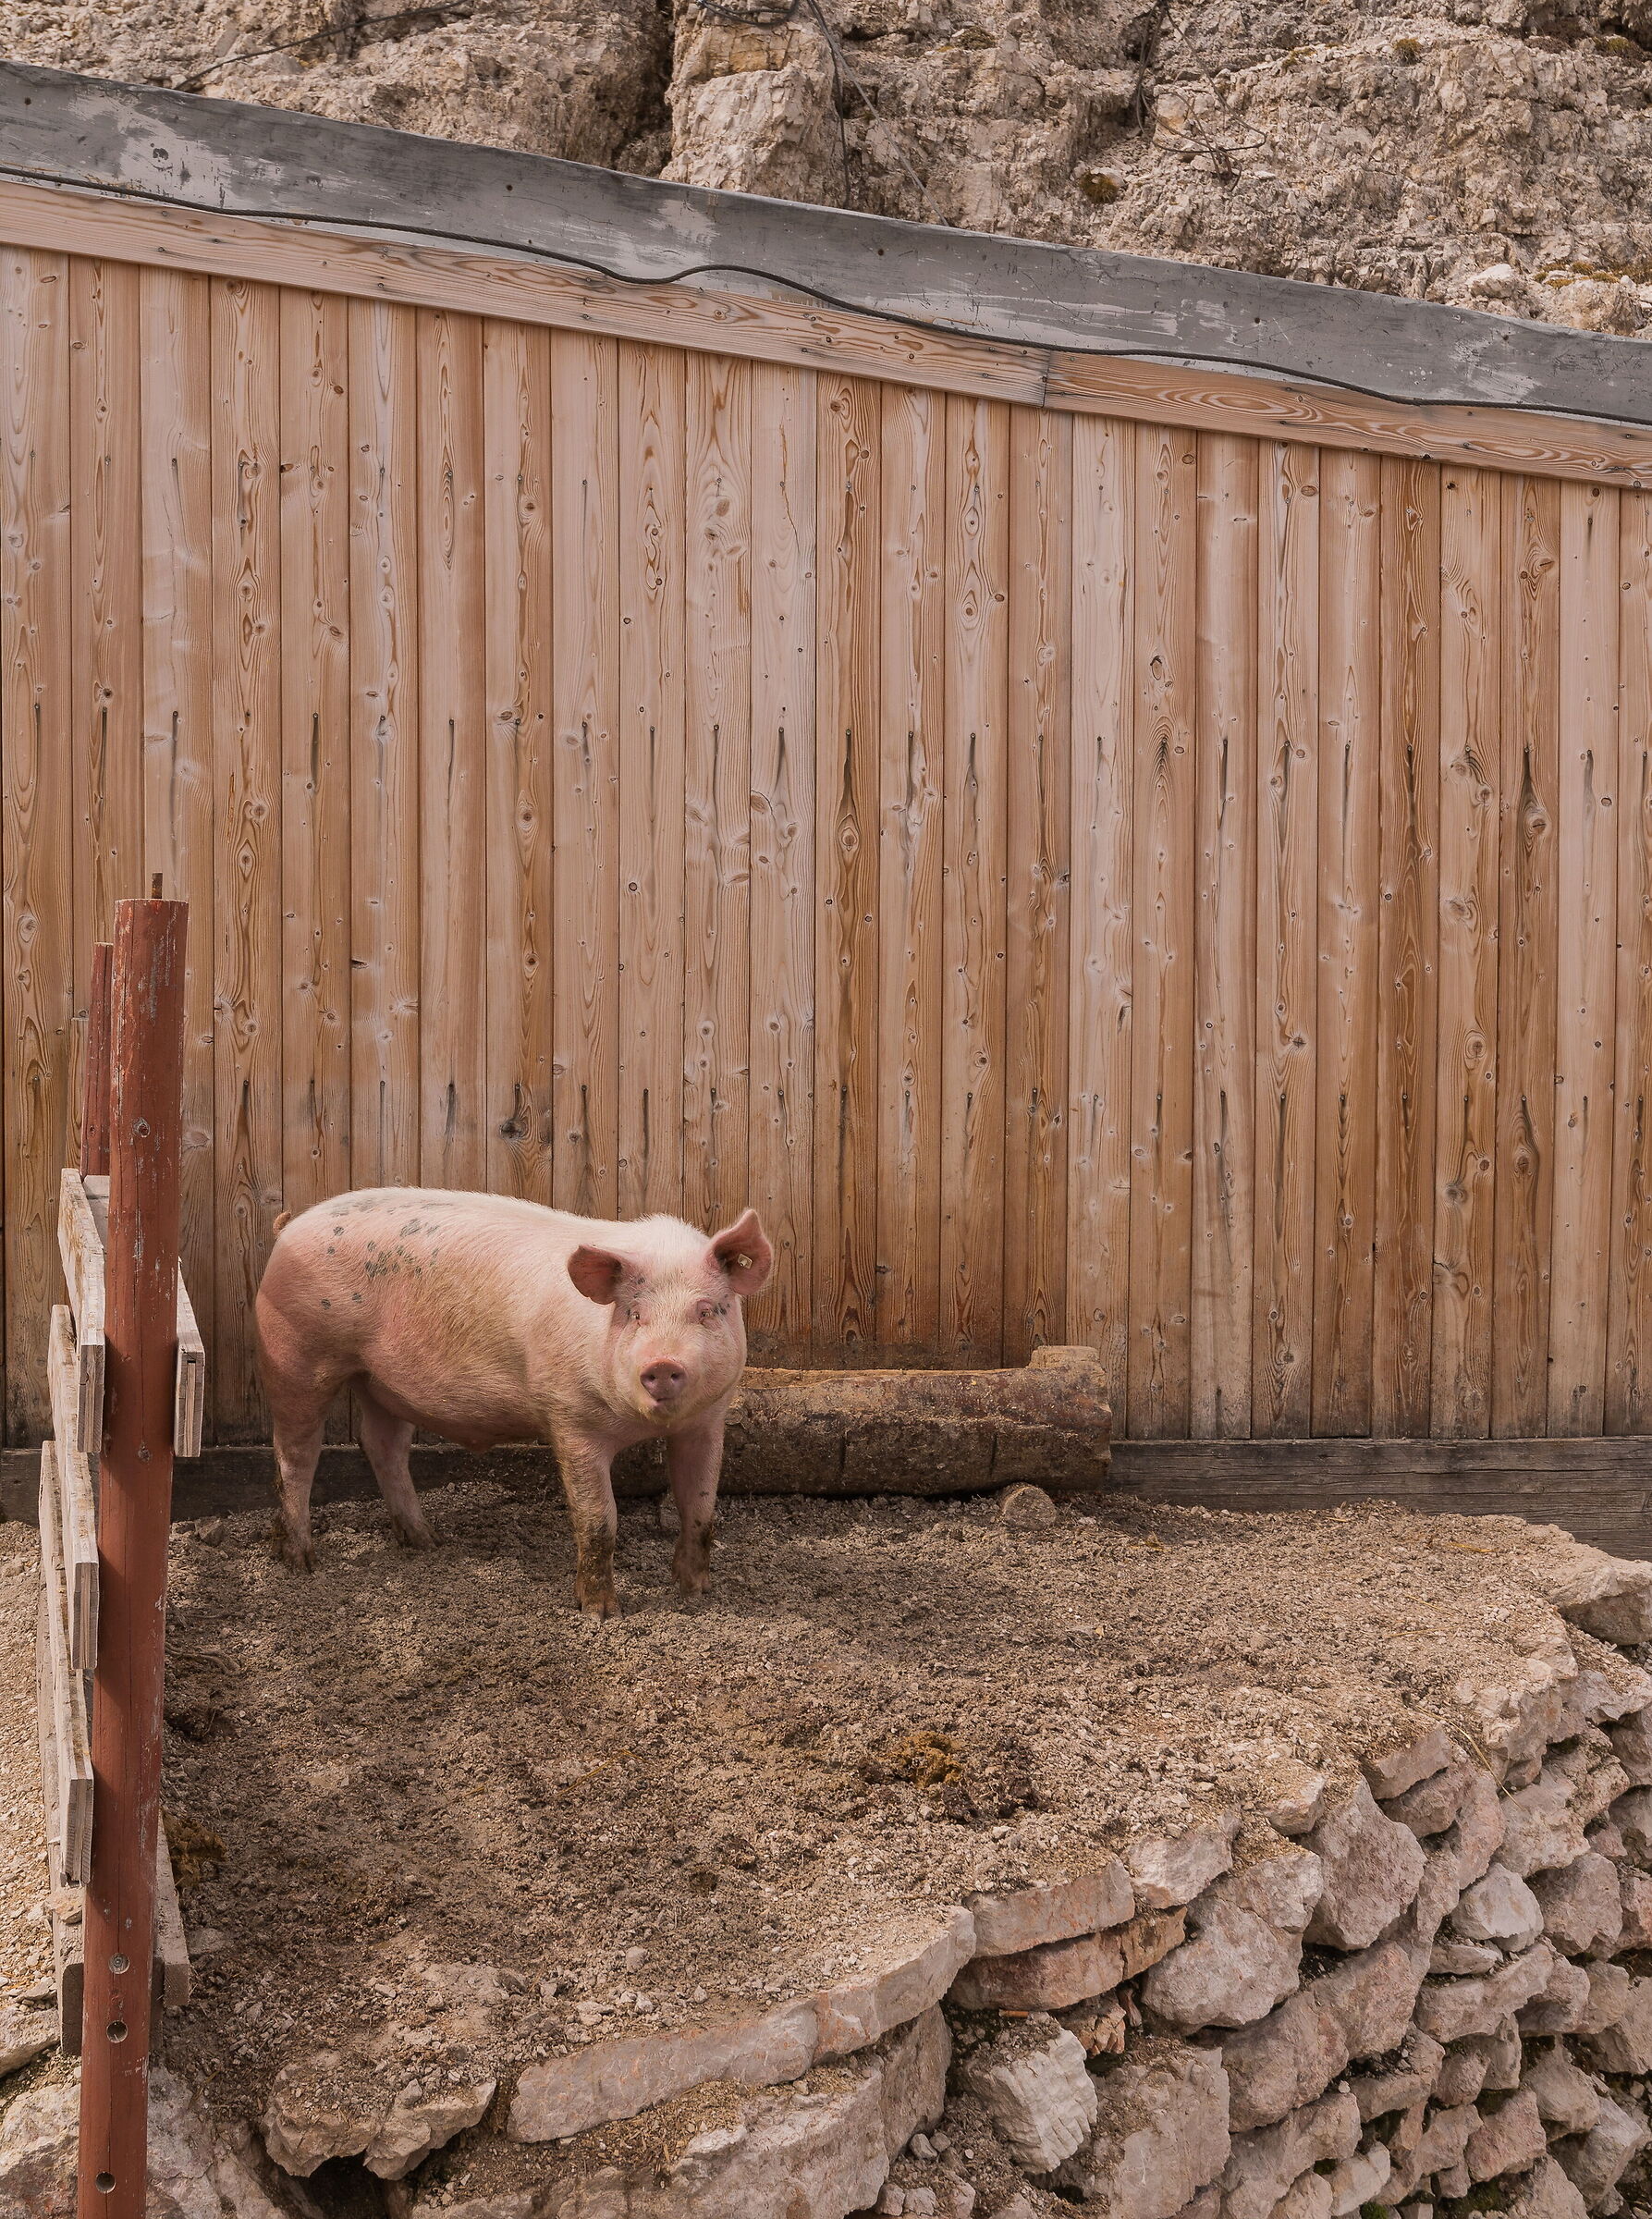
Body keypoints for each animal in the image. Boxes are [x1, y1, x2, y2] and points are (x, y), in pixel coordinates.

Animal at [253, 1190, 773, 1616]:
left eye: (706, 1311)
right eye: (634, 1314)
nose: (662, 1364)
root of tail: (291, 1226)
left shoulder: (707, 1421)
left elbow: (701, 1506)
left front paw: (695, 1594)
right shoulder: (571, 1417)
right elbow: (598, 1520)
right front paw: (601, 1614)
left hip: (380, 1381)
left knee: (382, 1445)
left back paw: (427, 1542)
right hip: (296, 1355)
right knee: (296, 1454)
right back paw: (301, 1563)